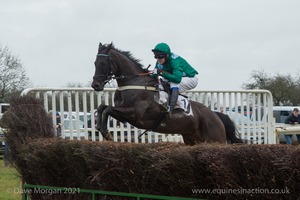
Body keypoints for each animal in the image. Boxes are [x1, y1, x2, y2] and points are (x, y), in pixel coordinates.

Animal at [91, 42, 241, 145]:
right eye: (95, 63)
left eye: (103, 63)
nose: (95, 85)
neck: (134, 82)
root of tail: (216, 115)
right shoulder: (123, 114)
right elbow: (103, 107)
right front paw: (100, 127)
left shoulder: (137, 115)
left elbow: (108, 109)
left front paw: (106, 133)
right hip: (191, 139)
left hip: (215, 139)